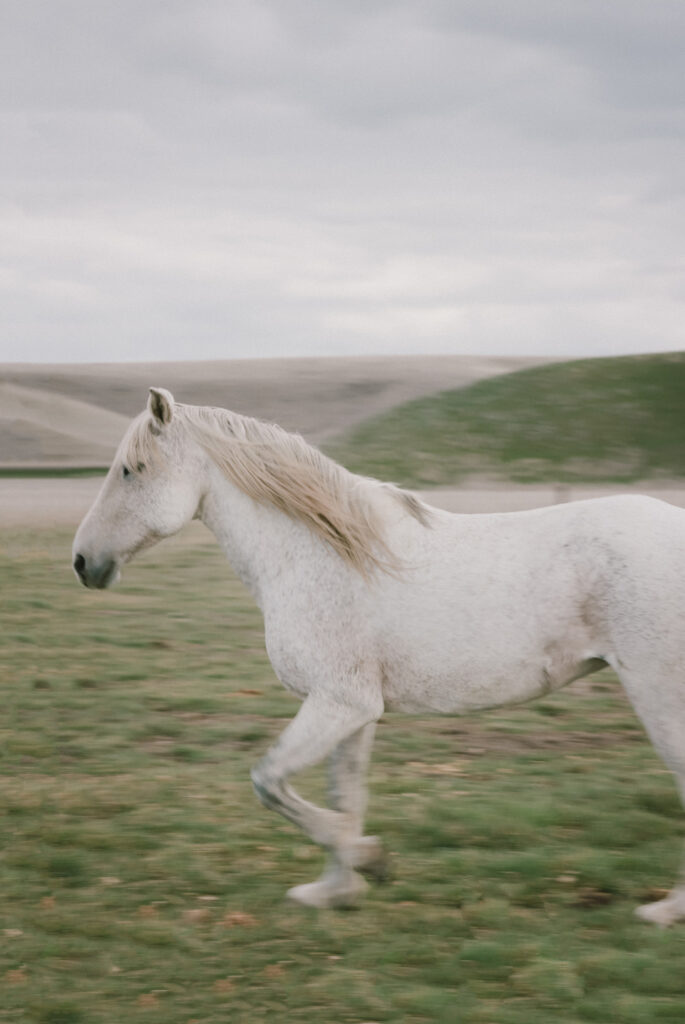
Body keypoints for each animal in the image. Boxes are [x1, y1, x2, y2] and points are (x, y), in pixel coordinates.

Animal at [73, 387, 685, 924]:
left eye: (131, 470)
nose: (83, 562)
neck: (320, 555)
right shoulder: (355, 711)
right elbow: (344, 793)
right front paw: (334, 891)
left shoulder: (338, 703)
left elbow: (271, 782)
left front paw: (368, 859)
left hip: (658, 696)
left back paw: (663, 911)